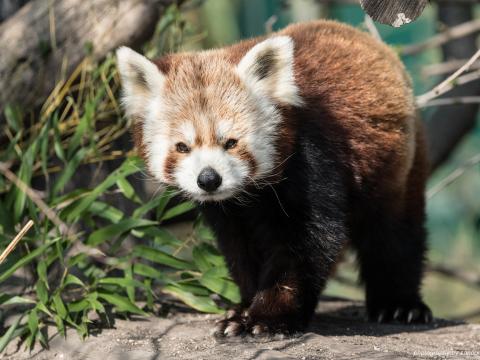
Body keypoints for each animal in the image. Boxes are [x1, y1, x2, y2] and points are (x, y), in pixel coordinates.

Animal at [116, 20, 432, 338]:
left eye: (231, 143)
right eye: (182, 147)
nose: (208, 179)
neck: (250, 196)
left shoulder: (311, 160)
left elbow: (306, 245)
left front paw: (267, 317)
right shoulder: (228, 214)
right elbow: (241, 250)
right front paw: (242, 309)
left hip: (398, 168)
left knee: (393, 235)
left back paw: (399, 306)